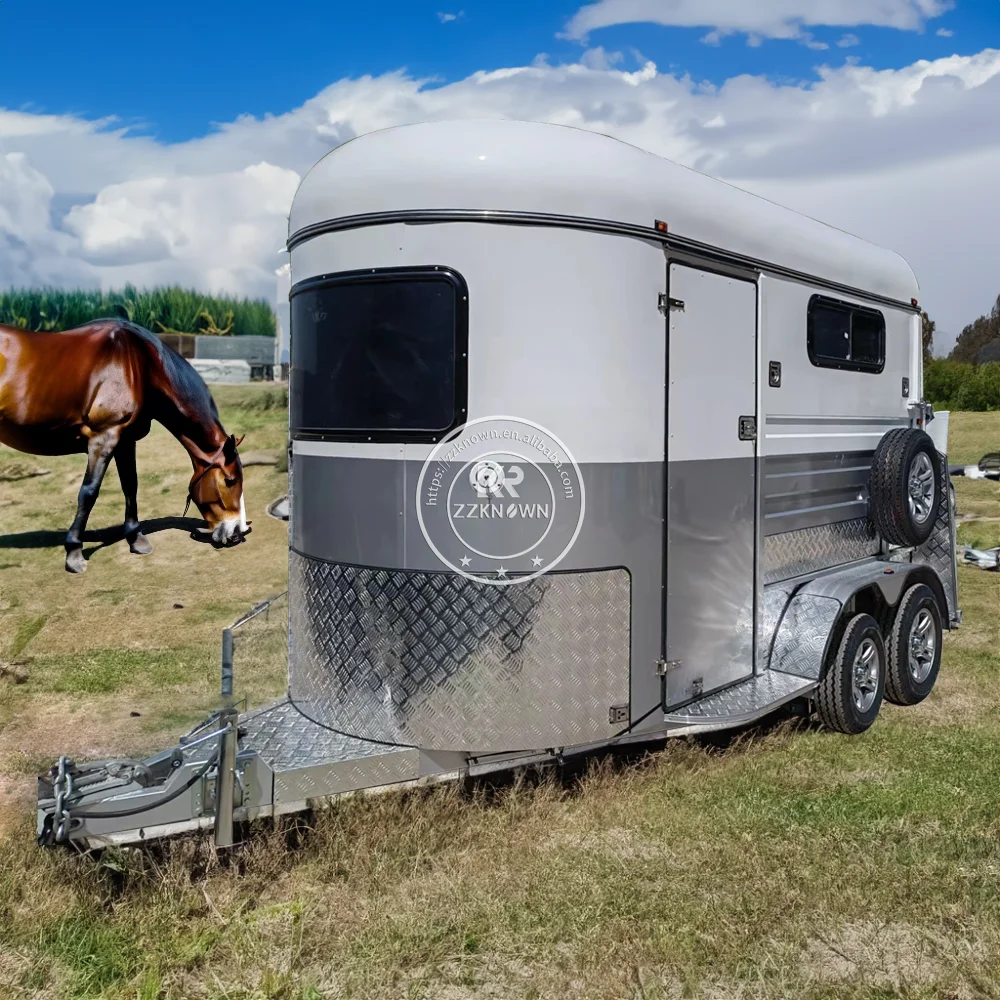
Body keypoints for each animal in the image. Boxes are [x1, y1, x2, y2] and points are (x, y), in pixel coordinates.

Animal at [0, 318, 250, 573]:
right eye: (230, 480)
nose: (237, 533)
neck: (139, 363)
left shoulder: (125, 441)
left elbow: (131, 486)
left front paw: (136, 538)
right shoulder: (104, 437)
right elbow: (88, 493)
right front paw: (74, 552)